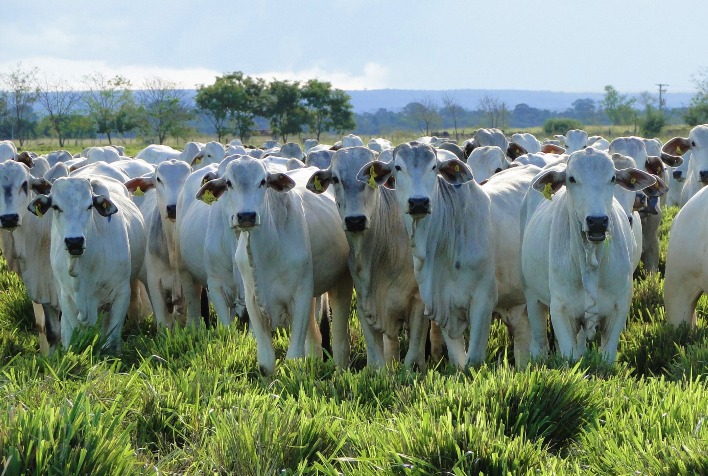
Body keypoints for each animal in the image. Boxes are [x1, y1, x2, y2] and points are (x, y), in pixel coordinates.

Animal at [28, 176, 146, 351]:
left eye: (89, 206)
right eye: (56, 207)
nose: (74, 242)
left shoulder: (121, 293)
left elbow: (112, 340)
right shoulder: (66, 297)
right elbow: (74, 336)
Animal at [195, 157, 353, 375]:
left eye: (263, 181)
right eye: (228, 183)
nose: (246, 216)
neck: (267, 253)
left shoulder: (301, 295)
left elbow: (294, 359)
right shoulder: (253, 300)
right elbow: (265, 364)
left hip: (340, 284)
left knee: (338, 339)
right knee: (314, 339)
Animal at [306, 146, 427, 368]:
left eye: (371, 180)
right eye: (335, 179)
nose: (355, 221)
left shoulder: (419, 302)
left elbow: (413, 354)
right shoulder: (366, 303)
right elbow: (377, 357)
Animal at [358, 142, 497, 368]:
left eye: (434, 167)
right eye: (398, 167)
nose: (419, 202)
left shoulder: (484, 300)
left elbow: (473, 360)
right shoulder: (441, 303)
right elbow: (458, 359)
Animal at [521, 148, 656, 362]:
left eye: (612, 178)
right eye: (572, 178)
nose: (597, 221)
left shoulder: (618, 309)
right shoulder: (561, 310)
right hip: (532, 296)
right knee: (539, 343)